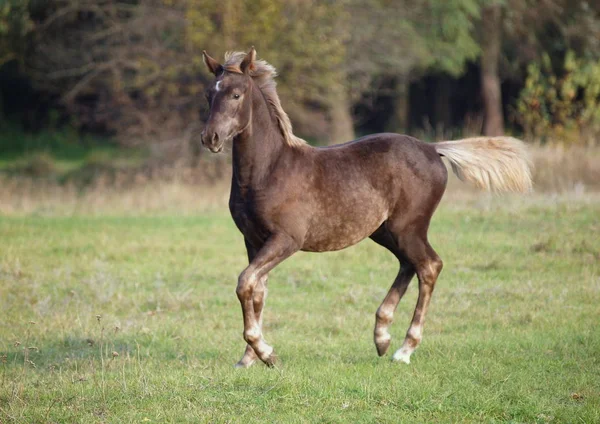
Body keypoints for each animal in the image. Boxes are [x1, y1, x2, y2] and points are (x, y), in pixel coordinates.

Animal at [200, 48, 528, 368]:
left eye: (236, 94)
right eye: (209, 95)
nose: (210, 138)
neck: (270, 169)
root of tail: (432, 148)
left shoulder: (286, 239)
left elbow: (245, 283)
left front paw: (265, 352)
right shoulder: (253, 240)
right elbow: (257, 291)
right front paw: (248, 358)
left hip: (409, 228)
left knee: (429, 266)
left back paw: (404, 350)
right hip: (385, 231)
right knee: (409, 264)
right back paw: (381, 336)